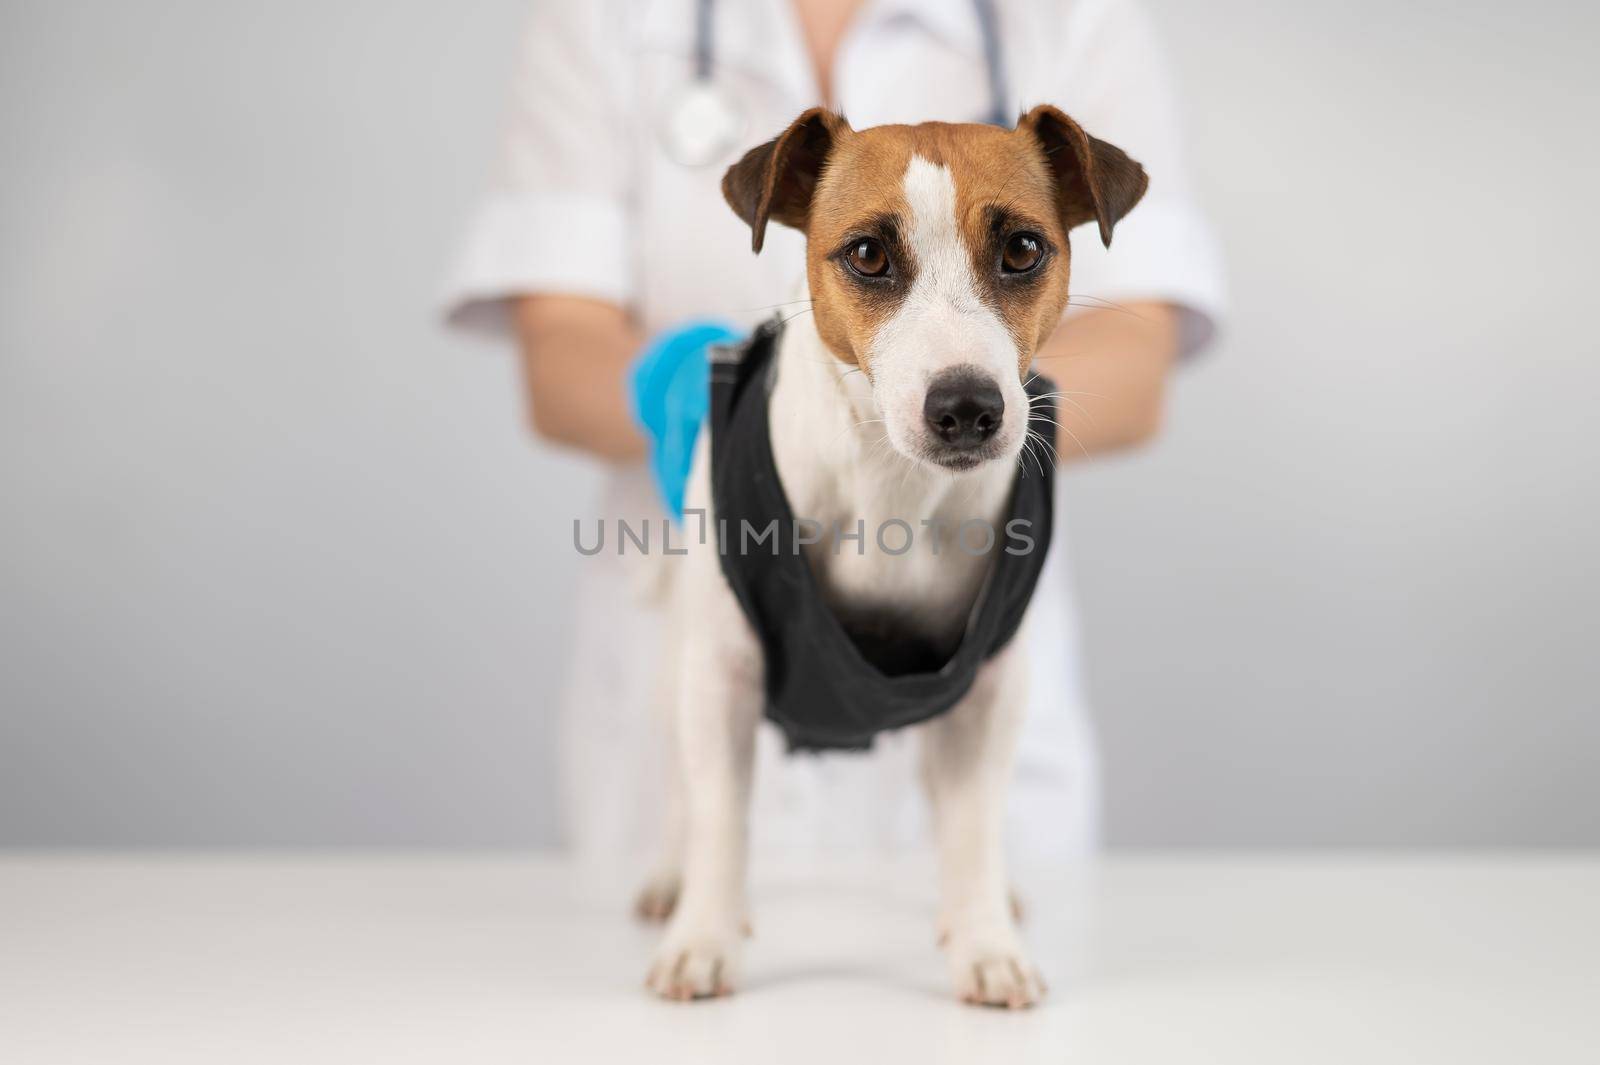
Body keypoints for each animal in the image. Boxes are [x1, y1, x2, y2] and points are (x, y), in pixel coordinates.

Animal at [636, 105, 1139, 1004]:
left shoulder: (987, 690)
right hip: (678, 673)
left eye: (1023, 249)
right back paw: (671, 878)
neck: (890, 486)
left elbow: (972, 823)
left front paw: (985, 939)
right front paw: (704, 936)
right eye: (868, 254)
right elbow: (721, 815)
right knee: (683, 791)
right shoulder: (723, 674)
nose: (967, 405)